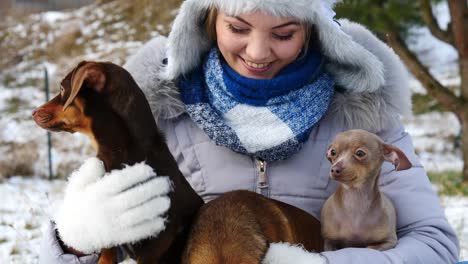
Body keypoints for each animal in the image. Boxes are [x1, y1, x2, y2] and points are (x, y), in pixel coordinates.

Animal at [31, 61, 203, 264]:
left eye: (62, 88)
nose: (33, 112)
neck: (124, 152)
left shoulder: (154, 246)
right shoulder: (110, 238)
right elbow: (106, 252)